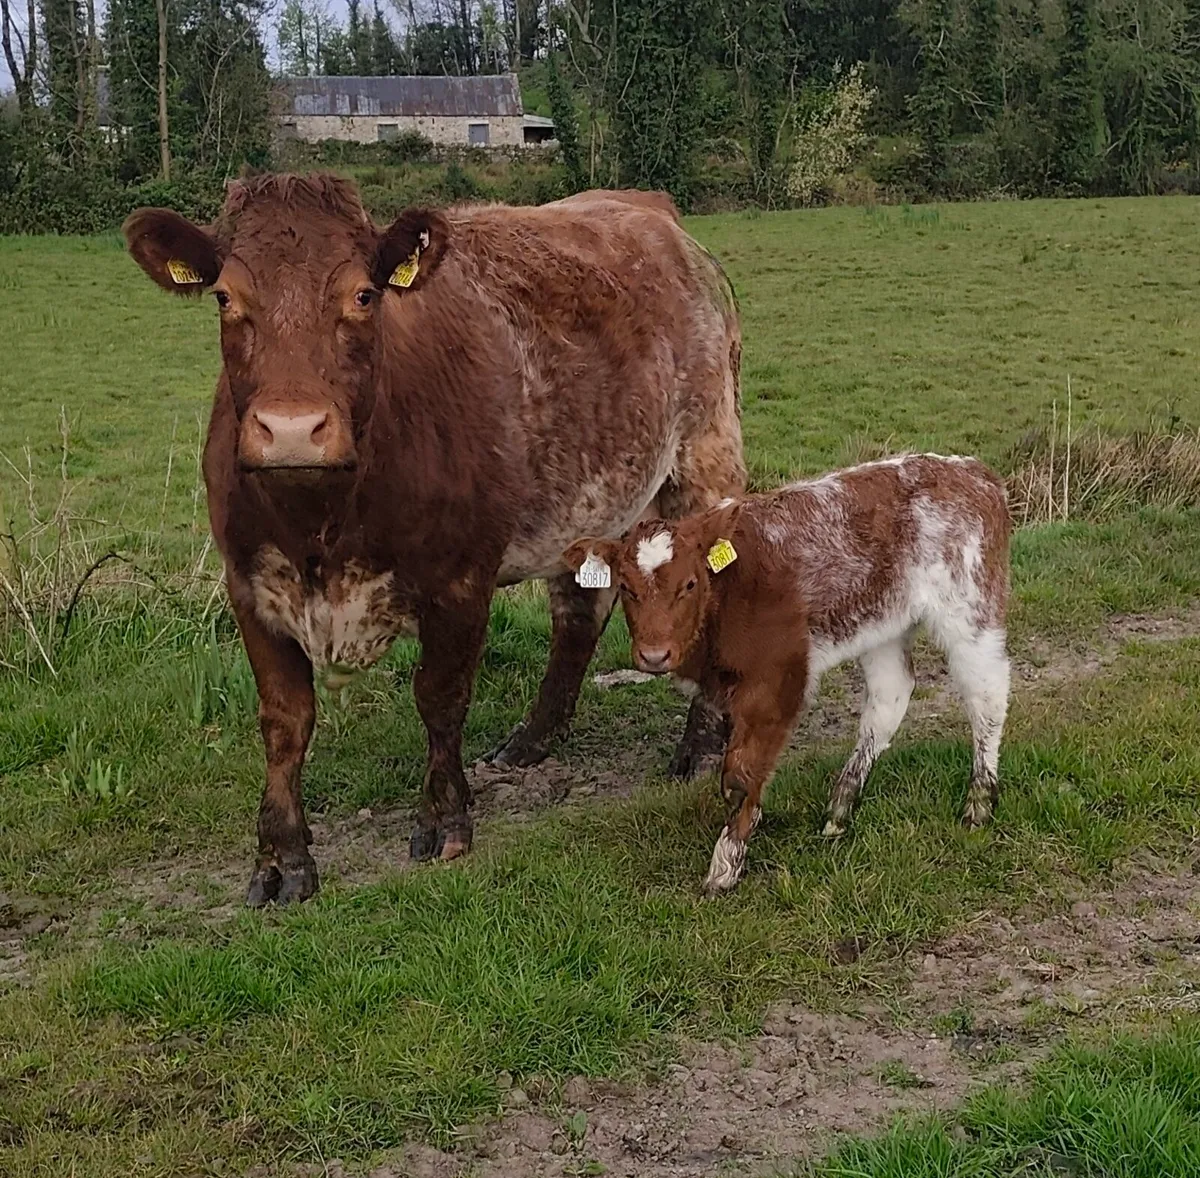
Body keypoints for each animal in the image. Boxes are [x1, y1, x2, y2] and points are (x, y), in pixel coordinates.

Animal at [122, 173, 745, 906]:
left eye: (364, 295)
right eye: (225, 297)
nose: (293, 429)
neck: (320, 524)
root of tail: (644, 206)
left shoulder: (460, 579)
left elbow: (440, 698)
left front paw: (445, 819)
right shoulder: (249, 586)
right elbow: (284, 721)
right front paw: (280, 856)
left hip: (706, 456)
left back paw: (700, 745)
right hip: (588, 500)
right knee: (578, 611)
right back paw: (534, 738)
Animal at [564, 454, 1011, 894]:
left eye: (690, 584)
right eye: (626, 588)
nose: (654, 655)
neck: (728, 591)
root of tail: (973, 470)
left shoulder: (777, 678)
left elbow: (739, 775)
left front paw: (724, 868)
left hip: (969, 607)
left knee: (986, 695)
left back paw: (979, 805)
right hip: (882, 622)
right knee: (889, 699)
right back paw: (839, 811)